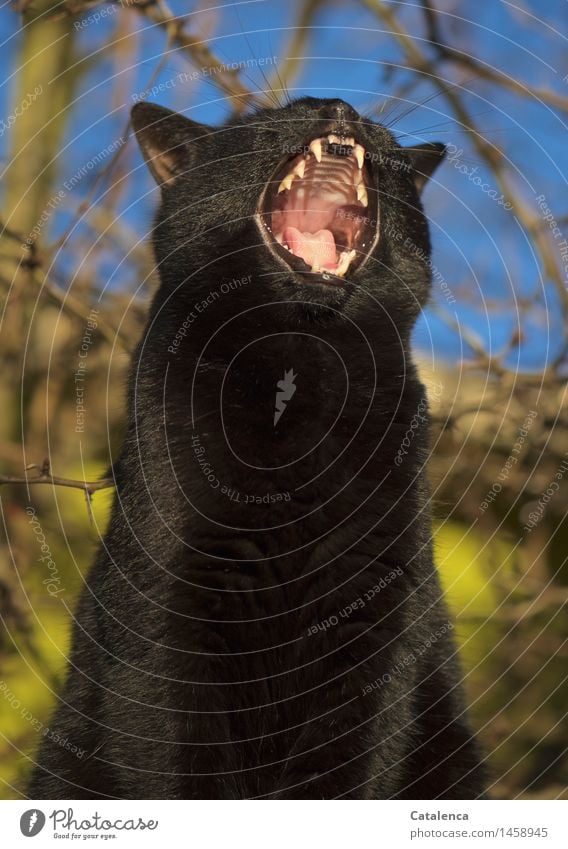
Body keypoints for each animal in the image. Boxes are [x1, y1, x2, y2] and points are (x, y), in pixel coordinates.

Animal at [28, 96, 486, 800]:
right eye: (281, 113)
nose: (341, 105)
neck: (301, 374)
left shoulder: (379, 617)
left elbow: (350, 770)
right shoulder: (161, 618)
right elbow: (175, 772)